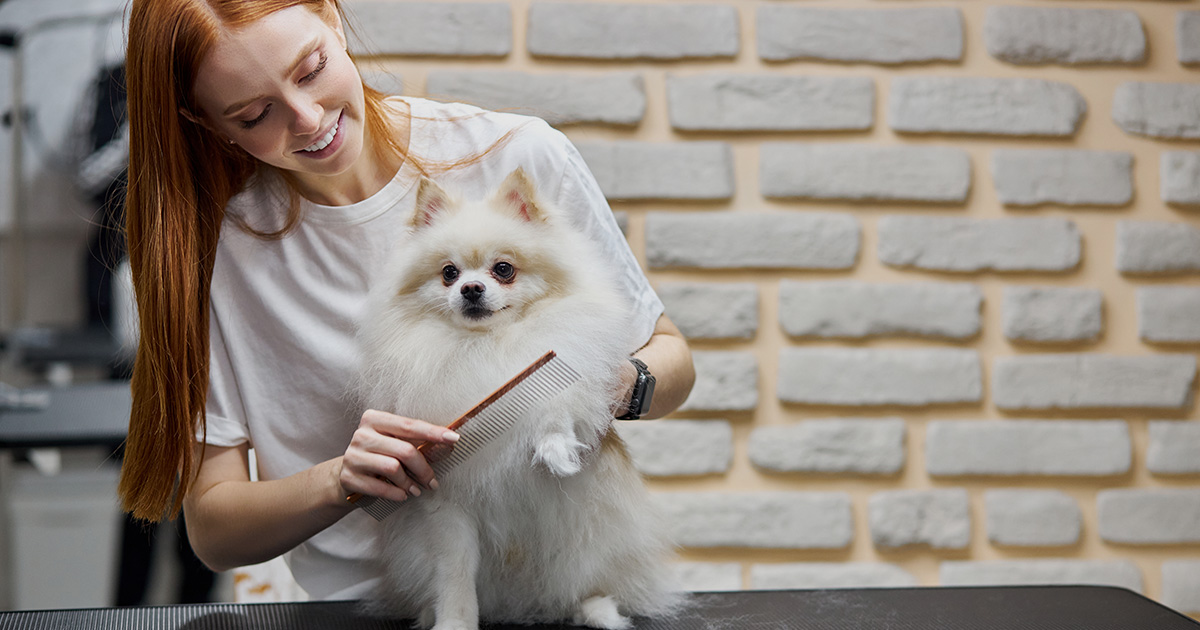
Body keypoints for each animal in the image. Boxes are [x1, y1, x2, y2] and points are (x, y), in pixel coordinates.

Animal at [350, 166, 681, 628]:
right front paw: (454, 622)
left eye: (503, 269)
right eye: (448, 273)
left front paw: (556, 448)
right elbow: (454, 577)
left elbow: (557, 408)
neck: (488, 346)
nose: (471, 288)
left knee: (585, 582)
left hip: (590, 537)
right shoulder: (448, 512)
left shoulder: (560, 363)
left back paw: (598, 611)